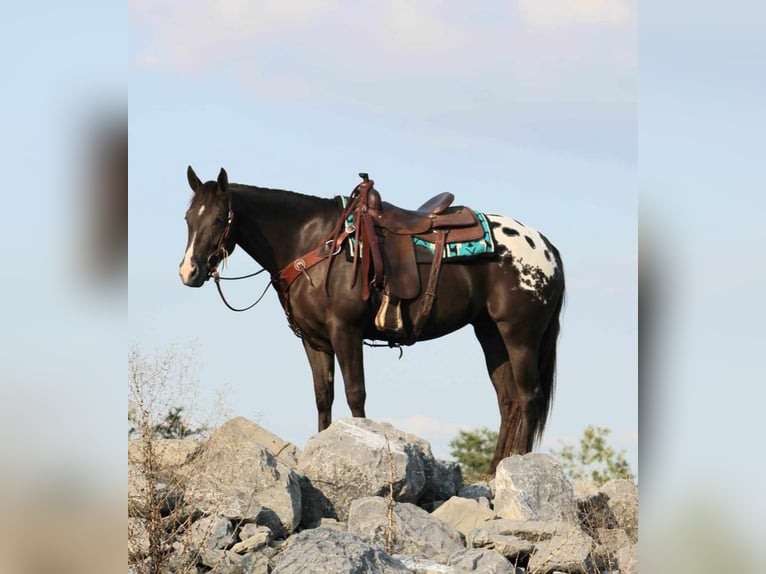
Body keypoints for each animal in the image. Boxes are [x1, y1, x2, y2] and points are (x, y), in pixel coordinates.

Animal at [180, 165, 564, 472]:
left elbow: (355, 394)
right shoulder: (314, 341)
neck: (313, 242)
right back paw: (495, 469)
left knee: (528, 397)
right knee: (508, 400)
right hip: (490, 333)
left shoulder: (345, 332)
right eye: (188, 219)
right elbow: (324, 397)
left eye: (219, 219)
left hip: (520, 335)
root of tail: (547, 248)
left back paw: (517, 466)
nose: (189, 272)